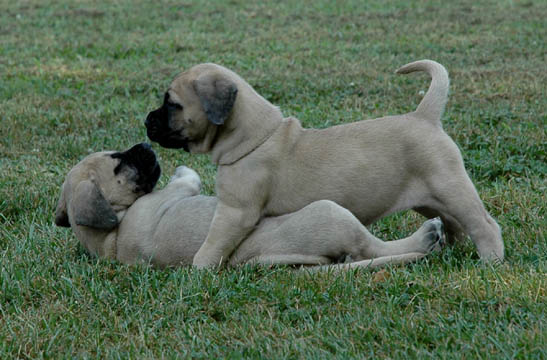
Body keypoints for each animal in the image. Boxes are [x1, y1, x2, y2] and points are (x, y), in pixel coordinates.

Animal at [54, 143, 446, 268]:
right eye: (119, 163)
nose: (148, 147)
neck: (110, 234)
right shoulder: (169, 196)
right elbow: (186, 181)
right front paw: (186, 170)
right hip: (331, 211)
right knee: (372, 247)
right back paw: (426, 236)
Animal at [146, 59, 506, 268]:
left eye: (172, 104)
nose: (147, 121)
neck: (255, 137)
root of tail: (424, 116)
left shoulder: (235, 213)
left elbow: (211, 245)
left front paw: (198, 270)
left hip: (451, 186)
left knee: (483, 224)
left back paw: (490, 261)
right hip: (430, 198)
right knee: (454, 222)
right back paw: (452, 249)